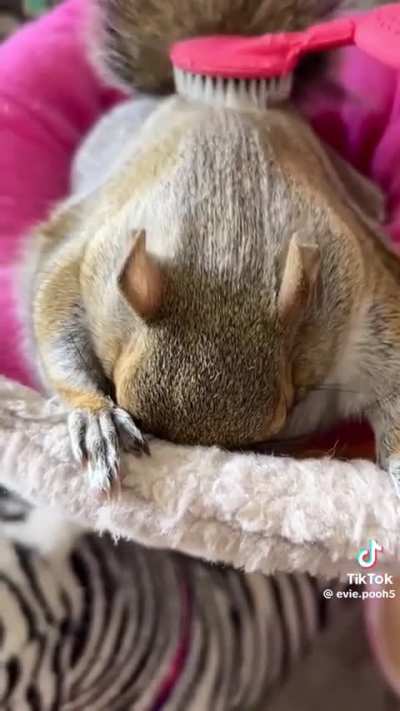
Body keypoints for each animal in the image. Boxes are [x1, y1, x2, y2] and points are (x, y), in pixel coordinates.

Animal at [20, 0, 398, 492]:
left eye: (285, 411)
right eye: (115, 389)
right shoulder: (86, 254)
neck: (225, 236)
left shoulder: (364, 284)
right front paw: (95, 416)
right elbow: (55, 324)